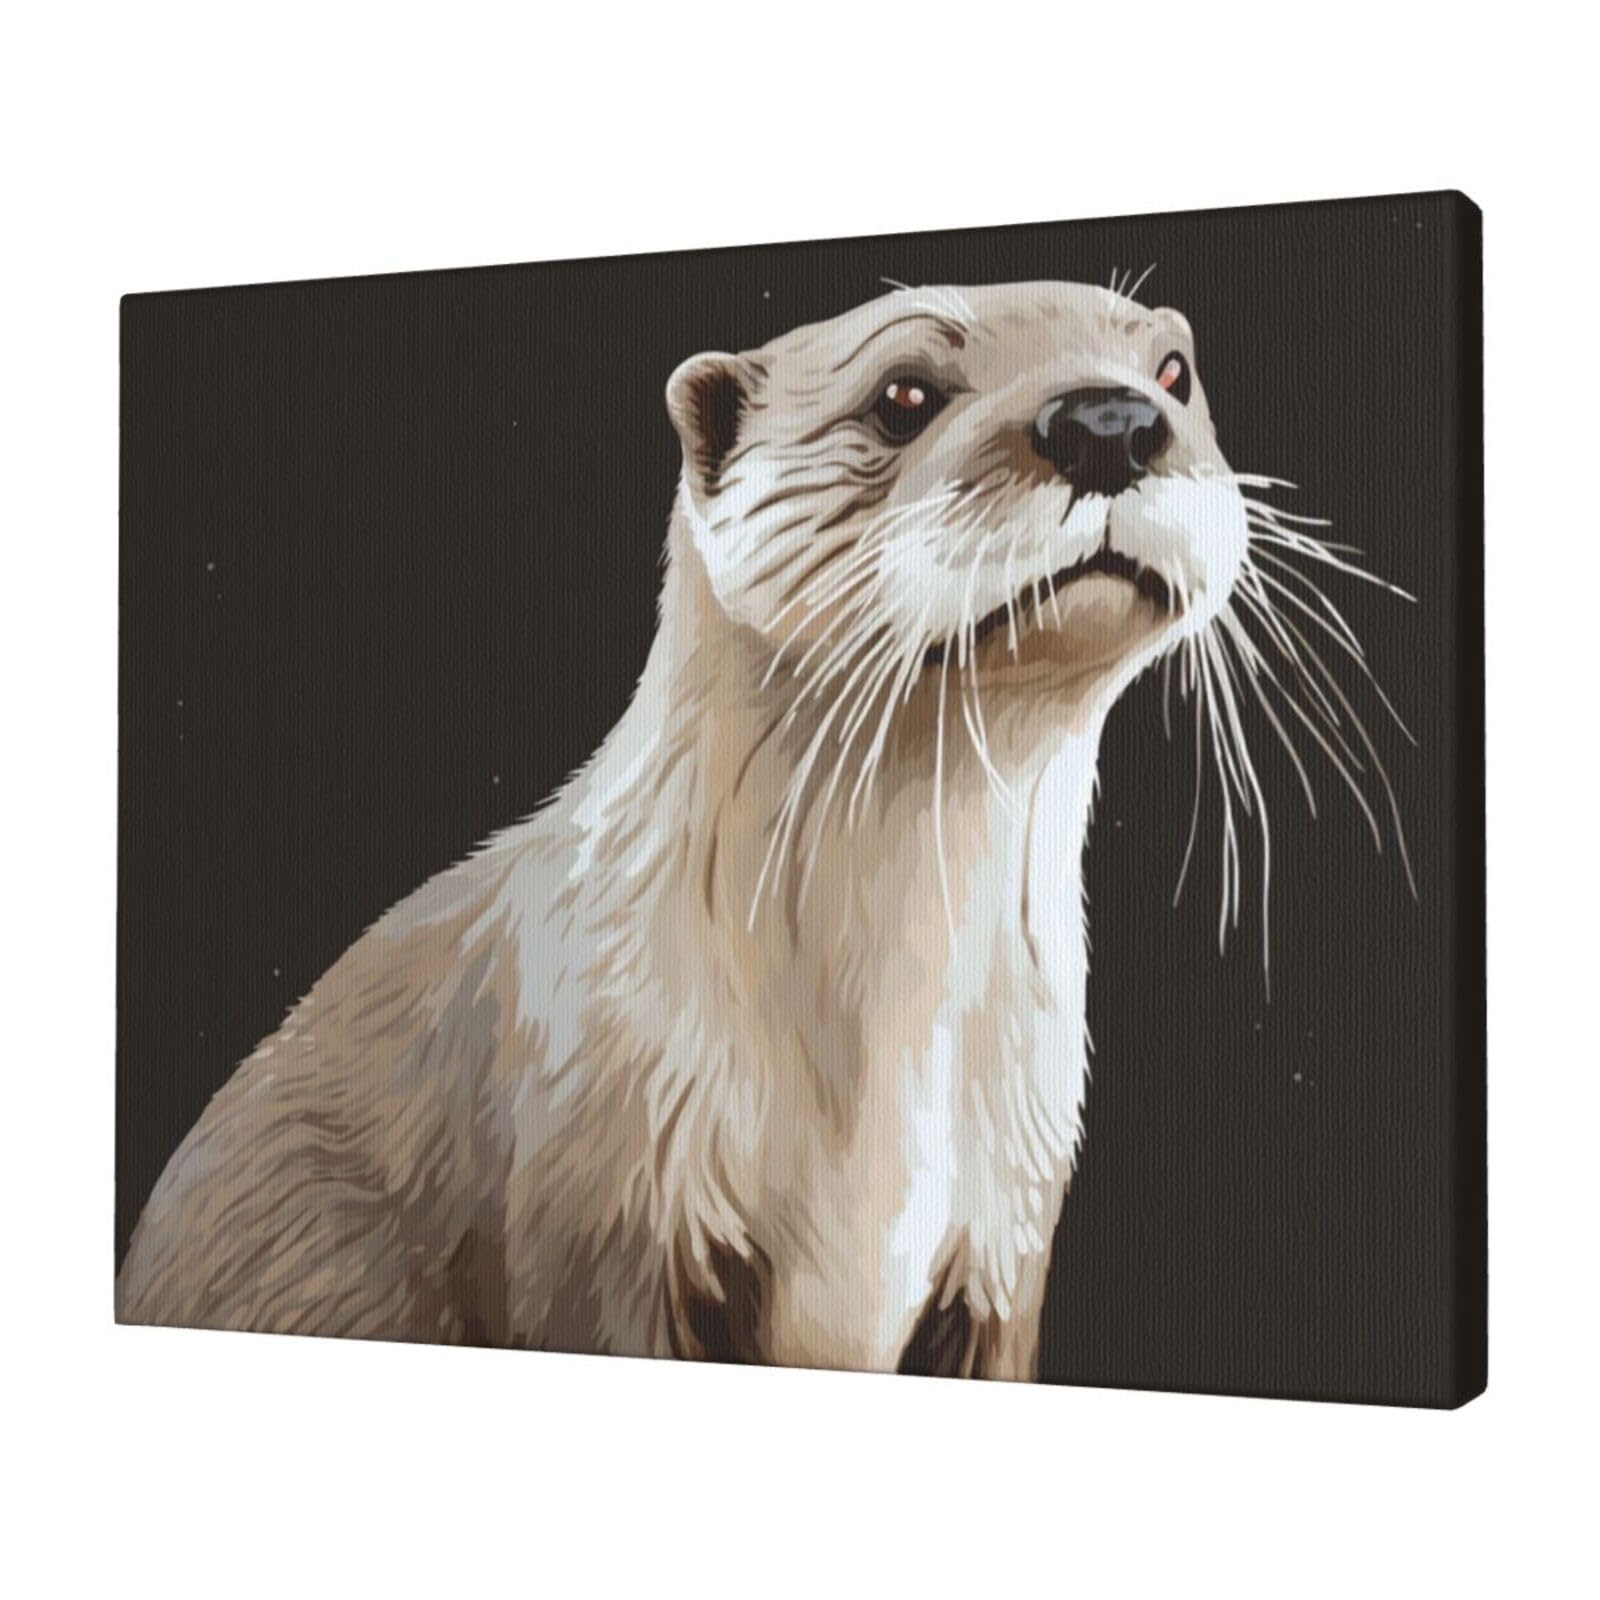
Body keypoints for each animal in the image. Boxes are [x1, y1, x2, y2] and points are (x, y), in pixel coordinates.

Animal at [118, 278, 1400, 1377]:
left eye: (1174, 371)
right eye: (903, 394)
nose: (1108, 419)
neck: (880, 1069)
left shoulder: (1009, 1238)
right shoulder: (598, 1210)